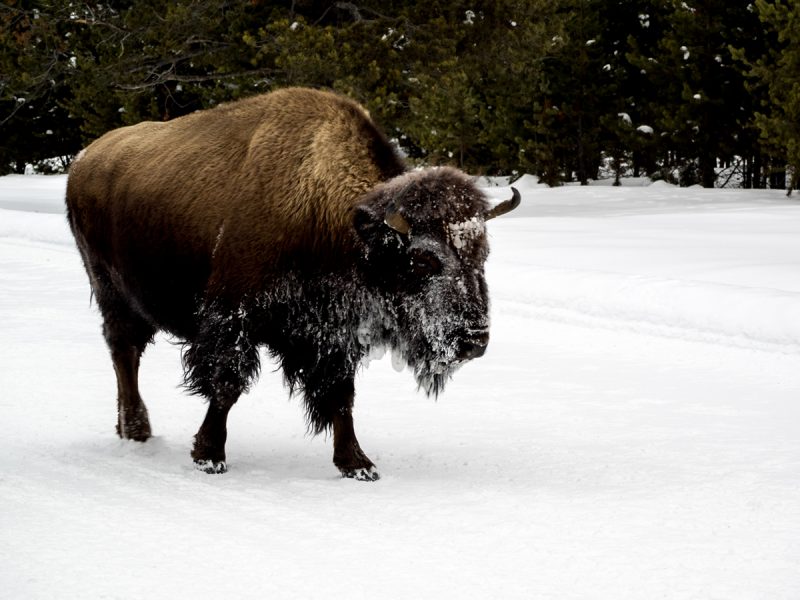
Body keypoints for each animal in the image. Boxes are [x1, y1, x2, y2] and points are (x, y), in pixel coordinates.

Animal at [66, 87, 519, 480]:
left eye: (482, 256)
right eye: (424, 260)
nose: (473, 341)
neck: (331, 215)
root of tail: (86, 159)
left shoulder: (331, 336)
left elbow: (341, 397)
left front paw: (357, 465)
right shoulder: (233, 319)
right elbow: (226, 385)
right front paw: (209, 455)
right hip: (113, 293)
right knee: (125, 353)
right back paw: (136, 430)